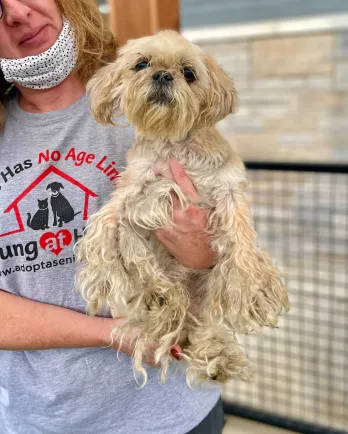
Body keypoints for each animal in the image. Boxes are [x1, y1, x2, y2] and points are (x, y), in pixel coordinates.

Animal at [75, 31, 288, 386]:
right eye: (141, 64)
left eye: (189, 73)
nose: (162, 75)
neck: (175, 144)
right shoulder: (133, 188)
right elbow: (109, 226)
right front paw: (106, 270)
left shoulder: (229, 189)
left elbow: (243, 243)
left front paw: (252, 290)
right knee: (157, 289)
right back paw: (158, 300)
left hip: (206, 297)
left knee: (206, 327)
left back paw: (217, 356)